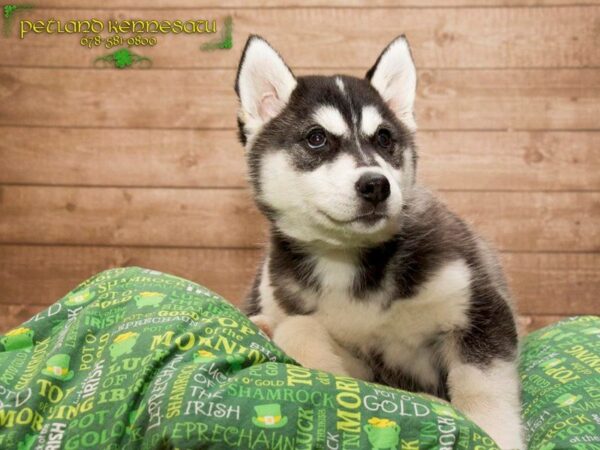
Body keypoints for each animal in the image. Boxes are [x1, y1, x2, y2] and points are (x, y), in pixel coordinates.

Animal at [237, 35, 524, 450]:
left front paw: (493, 434)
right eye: (317, 138)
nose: (376, 185)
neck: (348, 261)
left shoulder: (479, 307)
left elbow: (484, 391)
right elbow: (298, 328)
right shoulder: (362, 361)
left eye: (385, 138)